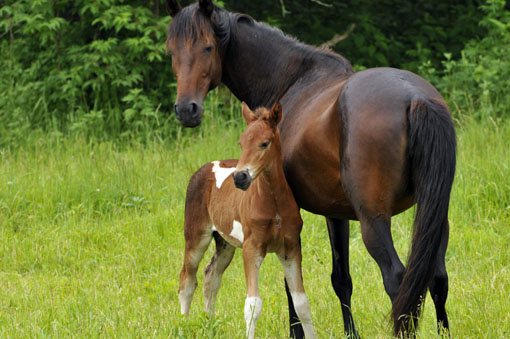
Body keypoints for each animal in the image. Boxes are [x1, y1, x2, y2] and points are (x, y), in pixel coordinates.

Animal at [178, 103, 314, 339]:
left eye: (265, 143)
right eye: (241, 142)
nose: (240, 177)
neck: (274, 206)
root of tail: (204, 168)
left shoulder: (291, 250)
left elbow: (302, 303)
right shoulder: (251, 249)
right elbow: (252, 305)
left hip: (225, 243)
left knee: (210, 276)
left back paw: (210, 326)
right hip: (196, 237)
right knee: (187, 280)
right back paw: (184, 327)